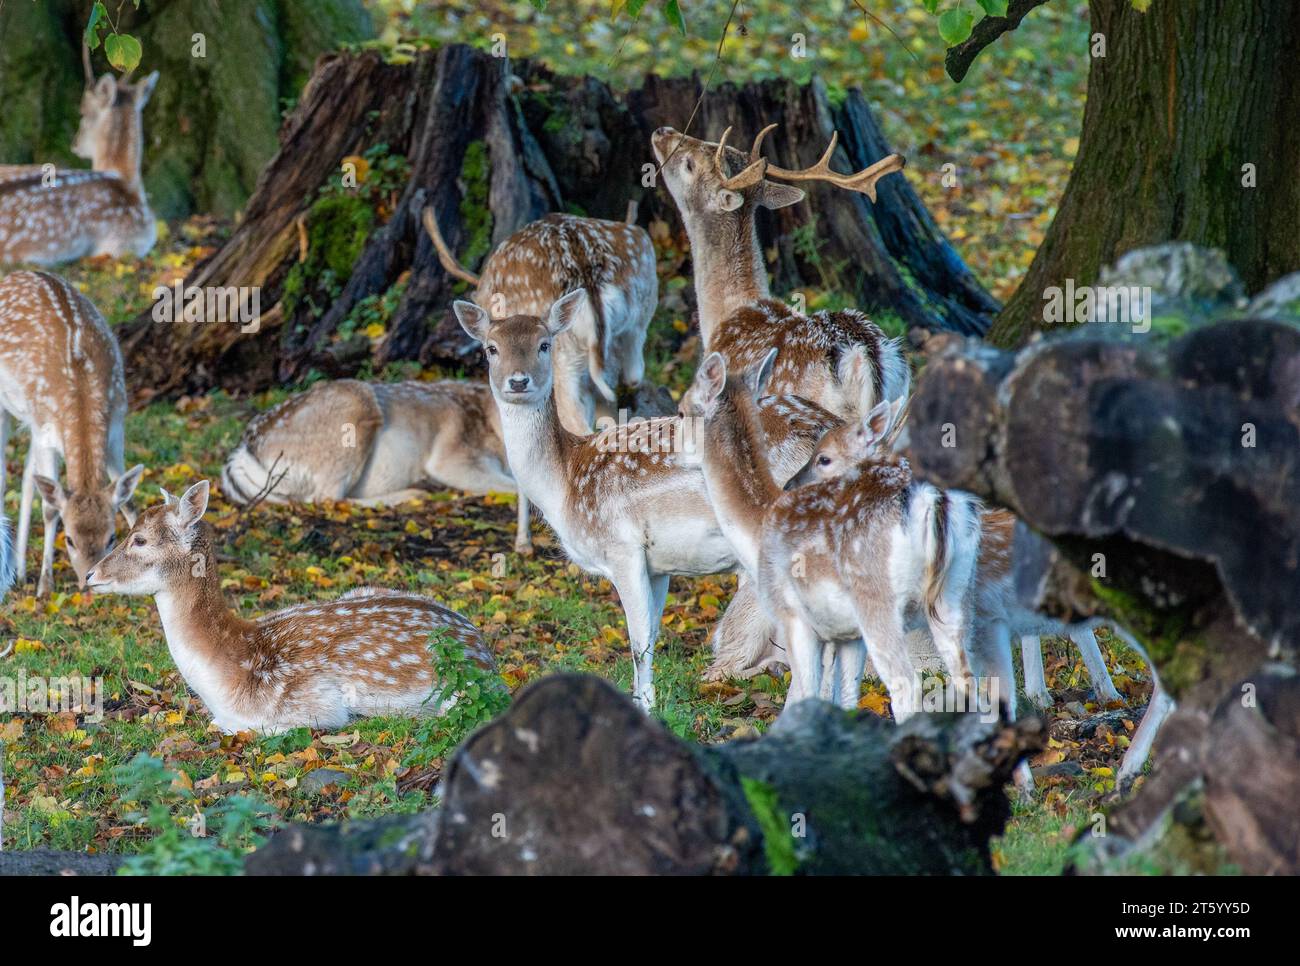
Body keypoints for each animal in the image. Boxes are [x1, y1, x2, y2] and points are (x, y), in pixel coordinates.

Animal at [0, 270, 144, 595]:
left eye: (111, 537)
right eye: (69, 539)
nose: (87, 583)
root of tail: (16, 274)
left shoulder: (117, 422)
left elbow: (127, 497)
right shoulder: (46, 432)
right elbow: (50, 508)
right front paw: (45, 585)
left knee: (27, 474)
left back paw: (19, 569)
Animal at [453, 290, 845, 711]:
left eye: (545, 344)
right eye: (491, 348)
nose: (518, 380)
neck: (565, 484)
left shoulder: (622, 548)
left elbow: (638, 641)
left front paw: (646, 708)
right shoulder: (659, 566)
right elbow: (653, 637)